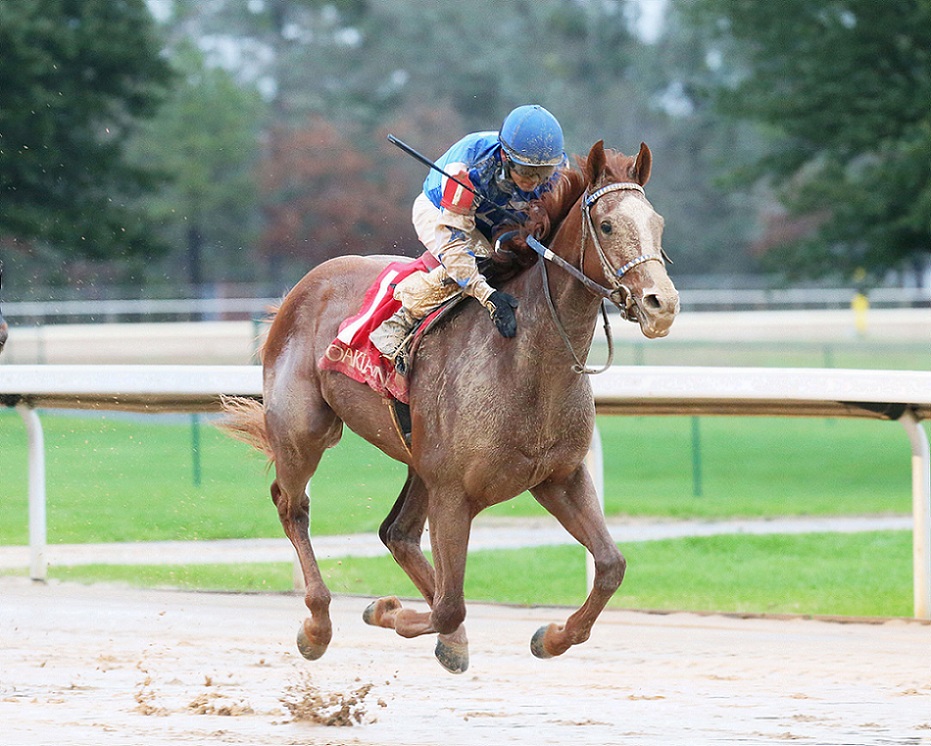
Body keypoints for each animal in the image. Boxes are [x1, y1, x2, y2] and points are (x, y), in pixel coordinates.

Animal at [221, 140, 679, 674]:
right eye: (606, 225)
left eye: (658, 222)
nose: (662, 304)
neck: (526, 363)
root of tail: (301, 288)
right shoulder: (454, 494)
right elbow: (449, 604)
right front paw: (387, 610)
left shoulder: (557, 477)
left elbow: (609, 566)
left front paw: (552, 637)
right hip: (305, 430)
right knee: (292, 506)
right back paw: (318, 624)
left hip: (419, 460)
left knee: (397, 533)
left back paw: (450, 639)